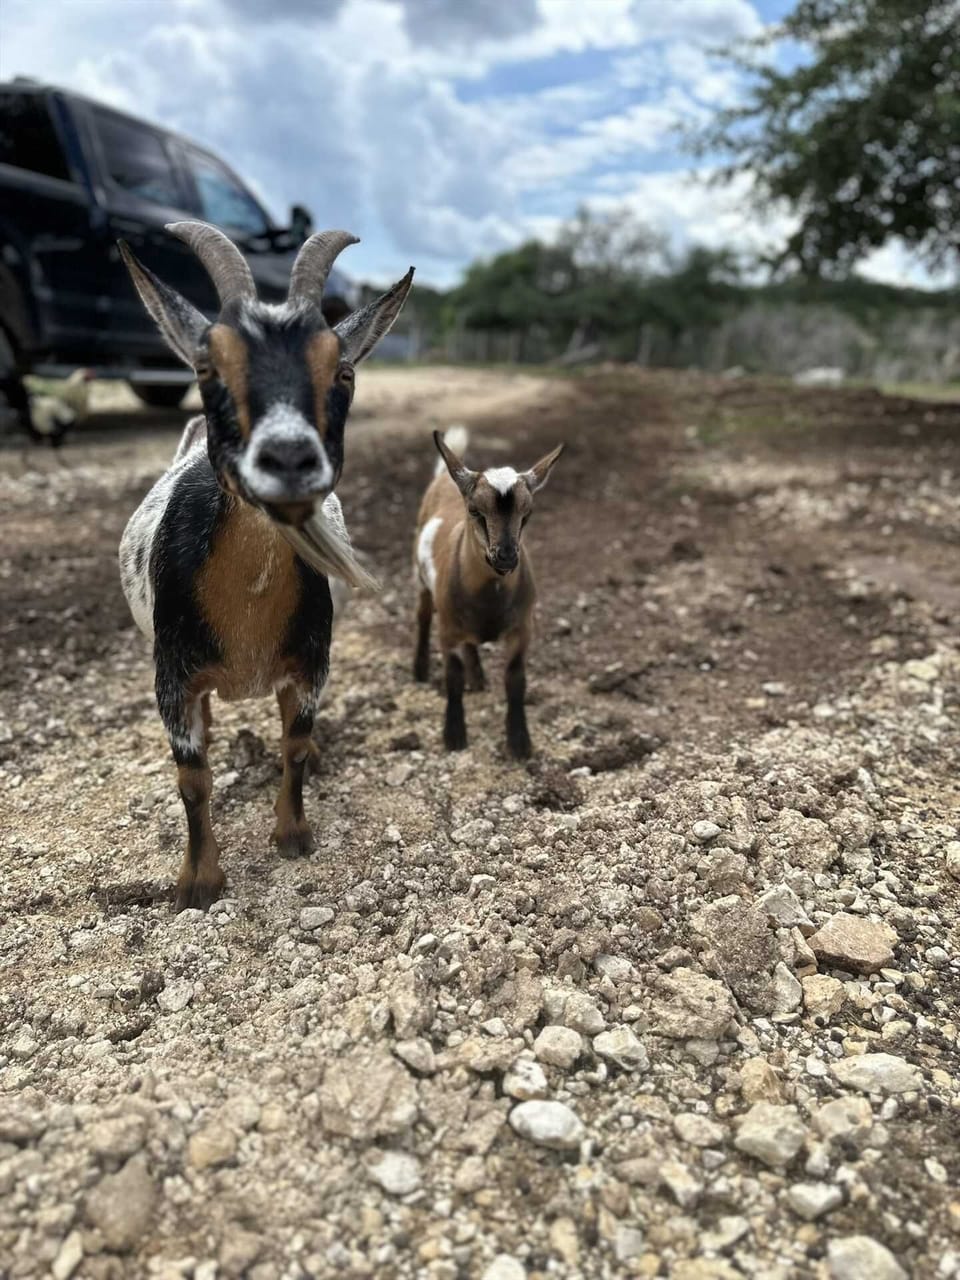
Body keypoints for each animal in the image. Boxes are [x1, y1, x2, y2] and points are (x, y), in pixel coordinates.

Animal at [118, 220, 413, 910]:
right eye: (206, 366)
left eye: (344, 371)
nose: (289, 457)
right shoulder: (172, 677)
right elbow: (192, 779)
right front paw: (199, 883)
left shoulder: (310, 666)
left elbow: (296, 749)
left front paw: (293, 837)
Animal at [413, 427, 563, 759]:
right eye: (474, 510)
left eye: (527, 513)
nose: (505, 556)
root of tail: (446, 475)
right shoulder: (447, 632)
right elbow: (453, 679)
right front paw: (454, 736)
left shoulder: (522, 628)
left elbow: (515, 679)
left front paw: (519, 742)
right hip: (421, 578)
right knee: (423, 615)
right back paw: (419, 669)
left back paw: (478, 676)